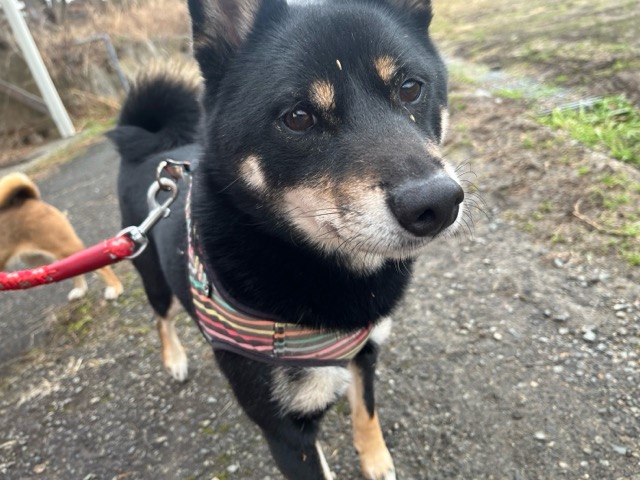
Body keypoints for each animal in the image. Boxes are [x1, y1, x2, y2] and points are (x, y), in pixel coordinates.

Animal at [0, 172, 124, 301]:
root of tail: (30, 199)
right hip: (41, 259)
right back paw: (80, 290)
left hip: (65, 250)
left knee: (102, 267)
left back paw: (115, 288)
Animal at [108, 0, 468, 477]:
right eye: (298, 117)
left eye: (410, 88)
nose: (437, 203)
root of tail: (153, 150)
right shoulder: (285, 432)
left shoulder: (366, 351)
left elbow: (365, 410)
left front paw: (375, 459)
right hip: (152, 274)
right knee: (161, 317)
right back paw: (175, 359)